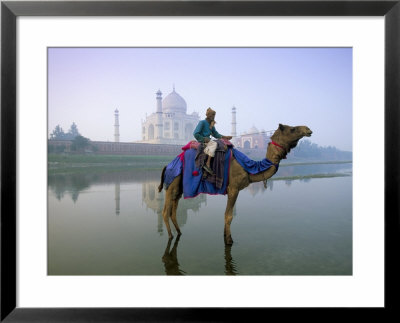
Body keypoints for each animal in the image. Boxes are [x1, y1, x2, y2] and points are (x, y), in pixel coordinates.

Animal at [158, 124, 310, 246]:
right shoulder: (233, 188)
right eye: (292, 129)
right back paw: (170, 236)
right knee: (165, 211)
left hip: (179, 187)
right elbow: (229, 215)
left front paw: (225, 236)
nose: (308, 129)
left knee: (173, 210)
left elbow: (228, 214)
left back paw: (179, 232)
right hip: (173, 183)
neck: (248, 167)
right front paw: (229, 240)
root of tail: (168, 165)